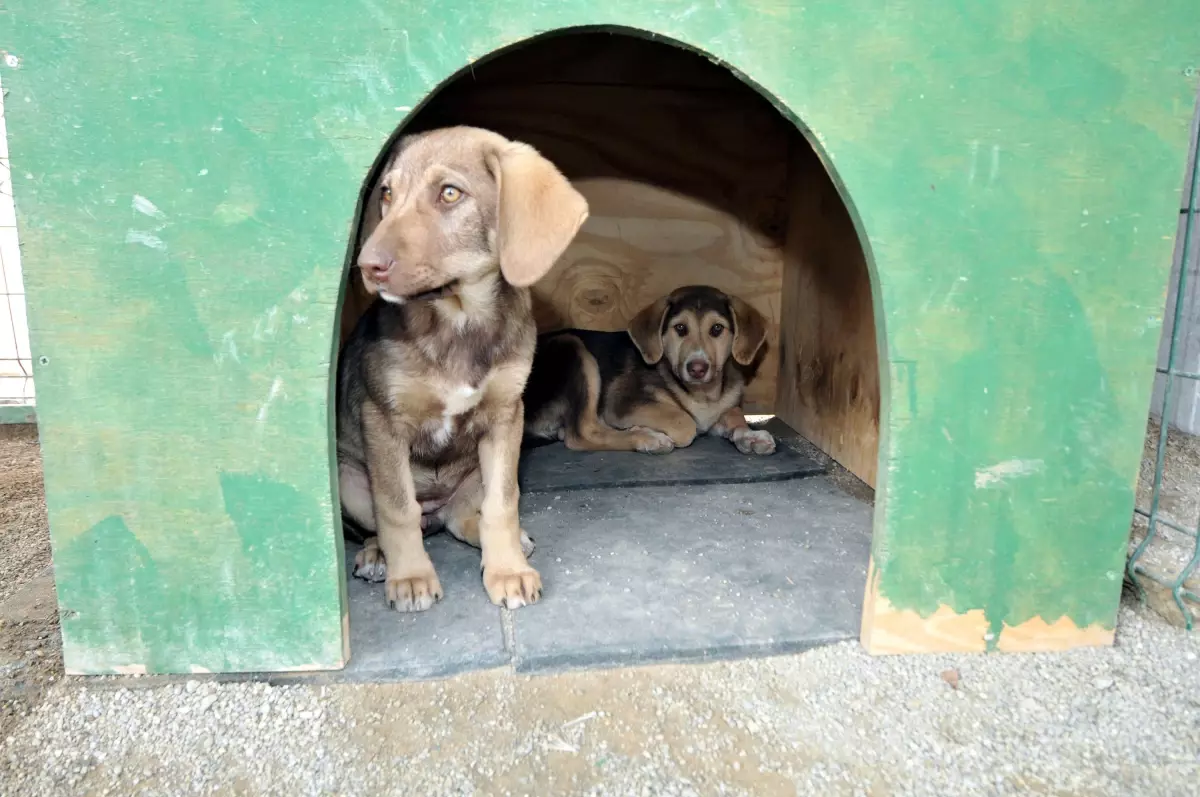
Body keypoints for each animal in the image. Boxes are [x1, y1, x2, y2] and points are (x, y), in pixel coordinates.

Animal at [336, 123, 588, 609]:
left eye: (450, 193)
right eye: (388, 194)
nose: (367, 266)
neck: (460, 319)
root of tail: (436, 515)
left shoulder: (506, 417)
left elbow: (503, 505)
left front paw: (507, 570)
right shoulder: (383, 420)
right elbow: (396, 508)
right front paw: (411, 577)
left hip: (473, 475)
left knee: (462, 517)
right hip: (349, 479)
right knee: (390, 523)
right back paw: (379, 558)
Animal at [525, 286, 777, 458]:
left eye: (717, 329)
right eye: (680, 328)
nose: (697, 368)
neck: (702, 395)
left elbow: (735, 415)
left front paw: (750, 436)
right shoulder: (623, 403)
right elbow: (685, 422)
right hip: (570, 345)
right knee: (581, 433)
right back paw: (646, 437)